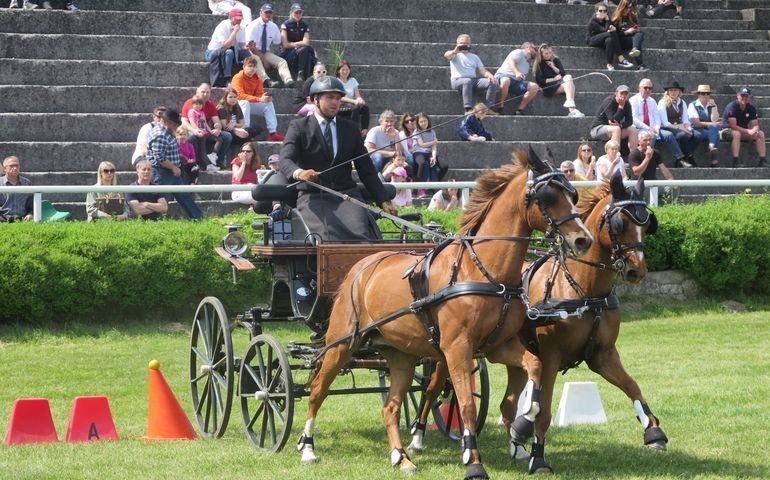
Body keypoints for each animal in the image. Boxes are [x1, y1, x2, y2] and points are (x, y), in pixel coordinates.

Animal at [292, 148, 588, 478]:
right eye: (547, 196)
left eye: (573, 194)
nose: (582, 240)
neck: (483, 270)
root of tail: (362, 265)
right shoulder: (458, 348)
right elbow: (467, 405)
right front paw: (473, 460)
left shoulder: (497, 346)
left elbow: (533, 365)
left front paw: (525, 420)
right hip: (342, 344)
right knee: (318, 390)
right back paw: (307, 447)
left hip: (401, 356)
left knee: (391, 406)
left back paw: (401, 458)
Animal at [404, 172, 664, 472]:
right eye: (620, 224)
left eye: (648, 224)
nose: (637, 270)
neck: (584, 291)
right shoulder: (551, 356)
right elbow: (545, 411)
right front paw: (538, 456)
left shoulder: (603, 355)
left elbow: (633, 386)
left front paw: (654, 431)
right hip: (451, 352)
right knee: (434, 387)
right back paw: (418, 436)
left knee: (506, 403)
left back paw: (515, 442)